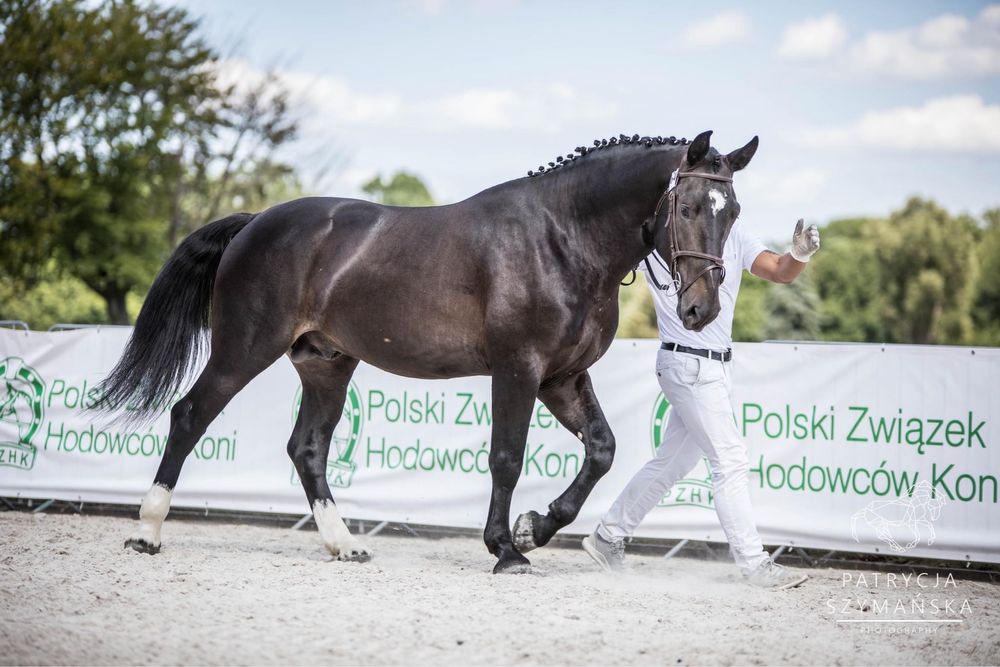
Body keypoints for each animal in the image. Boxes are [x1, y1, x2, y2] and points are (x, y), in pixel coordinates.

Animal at [101, 130, 756, 576]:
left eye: (733, 213)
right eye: (688, 207)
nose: (701, 311)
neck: (562, 238)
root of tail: (257, 220)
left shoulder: (563, 377)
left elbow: (602, 450)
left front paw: (536, 528)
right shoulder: (519, 370)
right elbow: (506, 458)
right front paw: (506, 549)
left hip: (326, 365)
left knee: (307, 448)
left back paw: (345, 544)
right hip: (243, 349)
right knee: (190, 416)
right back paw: (148, 532)